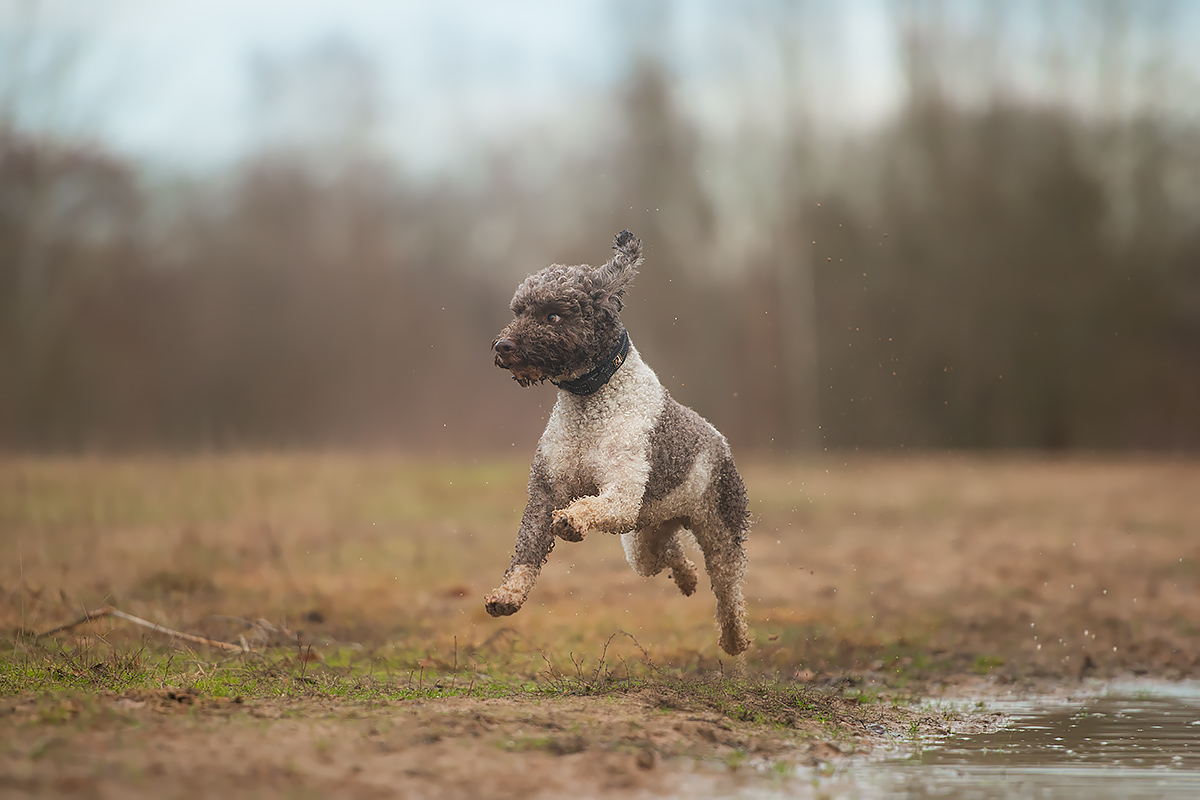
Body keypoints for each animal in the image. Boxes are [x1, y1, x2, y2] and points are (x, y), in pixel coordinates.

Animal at [480, 227, 748, 652]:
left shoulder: (622, 494)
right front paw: (507, 596)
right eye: (518, 311)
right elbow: (526, 549)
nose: (503, 346)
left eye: (553, 315)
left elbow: (592, 505)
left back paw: (736, 637)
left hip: (720, 528)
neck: (590, 401)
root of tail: (719, 439)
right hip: (643, 541)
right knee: (670, 553)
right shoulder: (545, 492)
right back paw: (687, 577)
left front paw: (572, 519)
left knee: (729, 589)